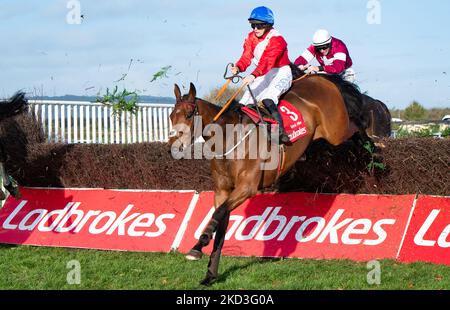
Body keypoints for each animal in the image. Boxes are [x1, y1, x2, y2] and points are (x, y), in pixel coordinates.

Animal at [169, 71, 370, 284]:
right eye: (172, 116)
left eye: (189, 114)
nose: (173, 146)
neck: (229, 138)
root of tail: (319, 77)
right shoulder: (222, 191)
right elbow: (220, 224)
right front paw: (210, 274)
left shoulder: (246, 187)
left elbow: (218, 214)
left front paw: (198, 247)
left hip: (336, 131)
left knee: (356, 126)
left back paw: (371, 144)